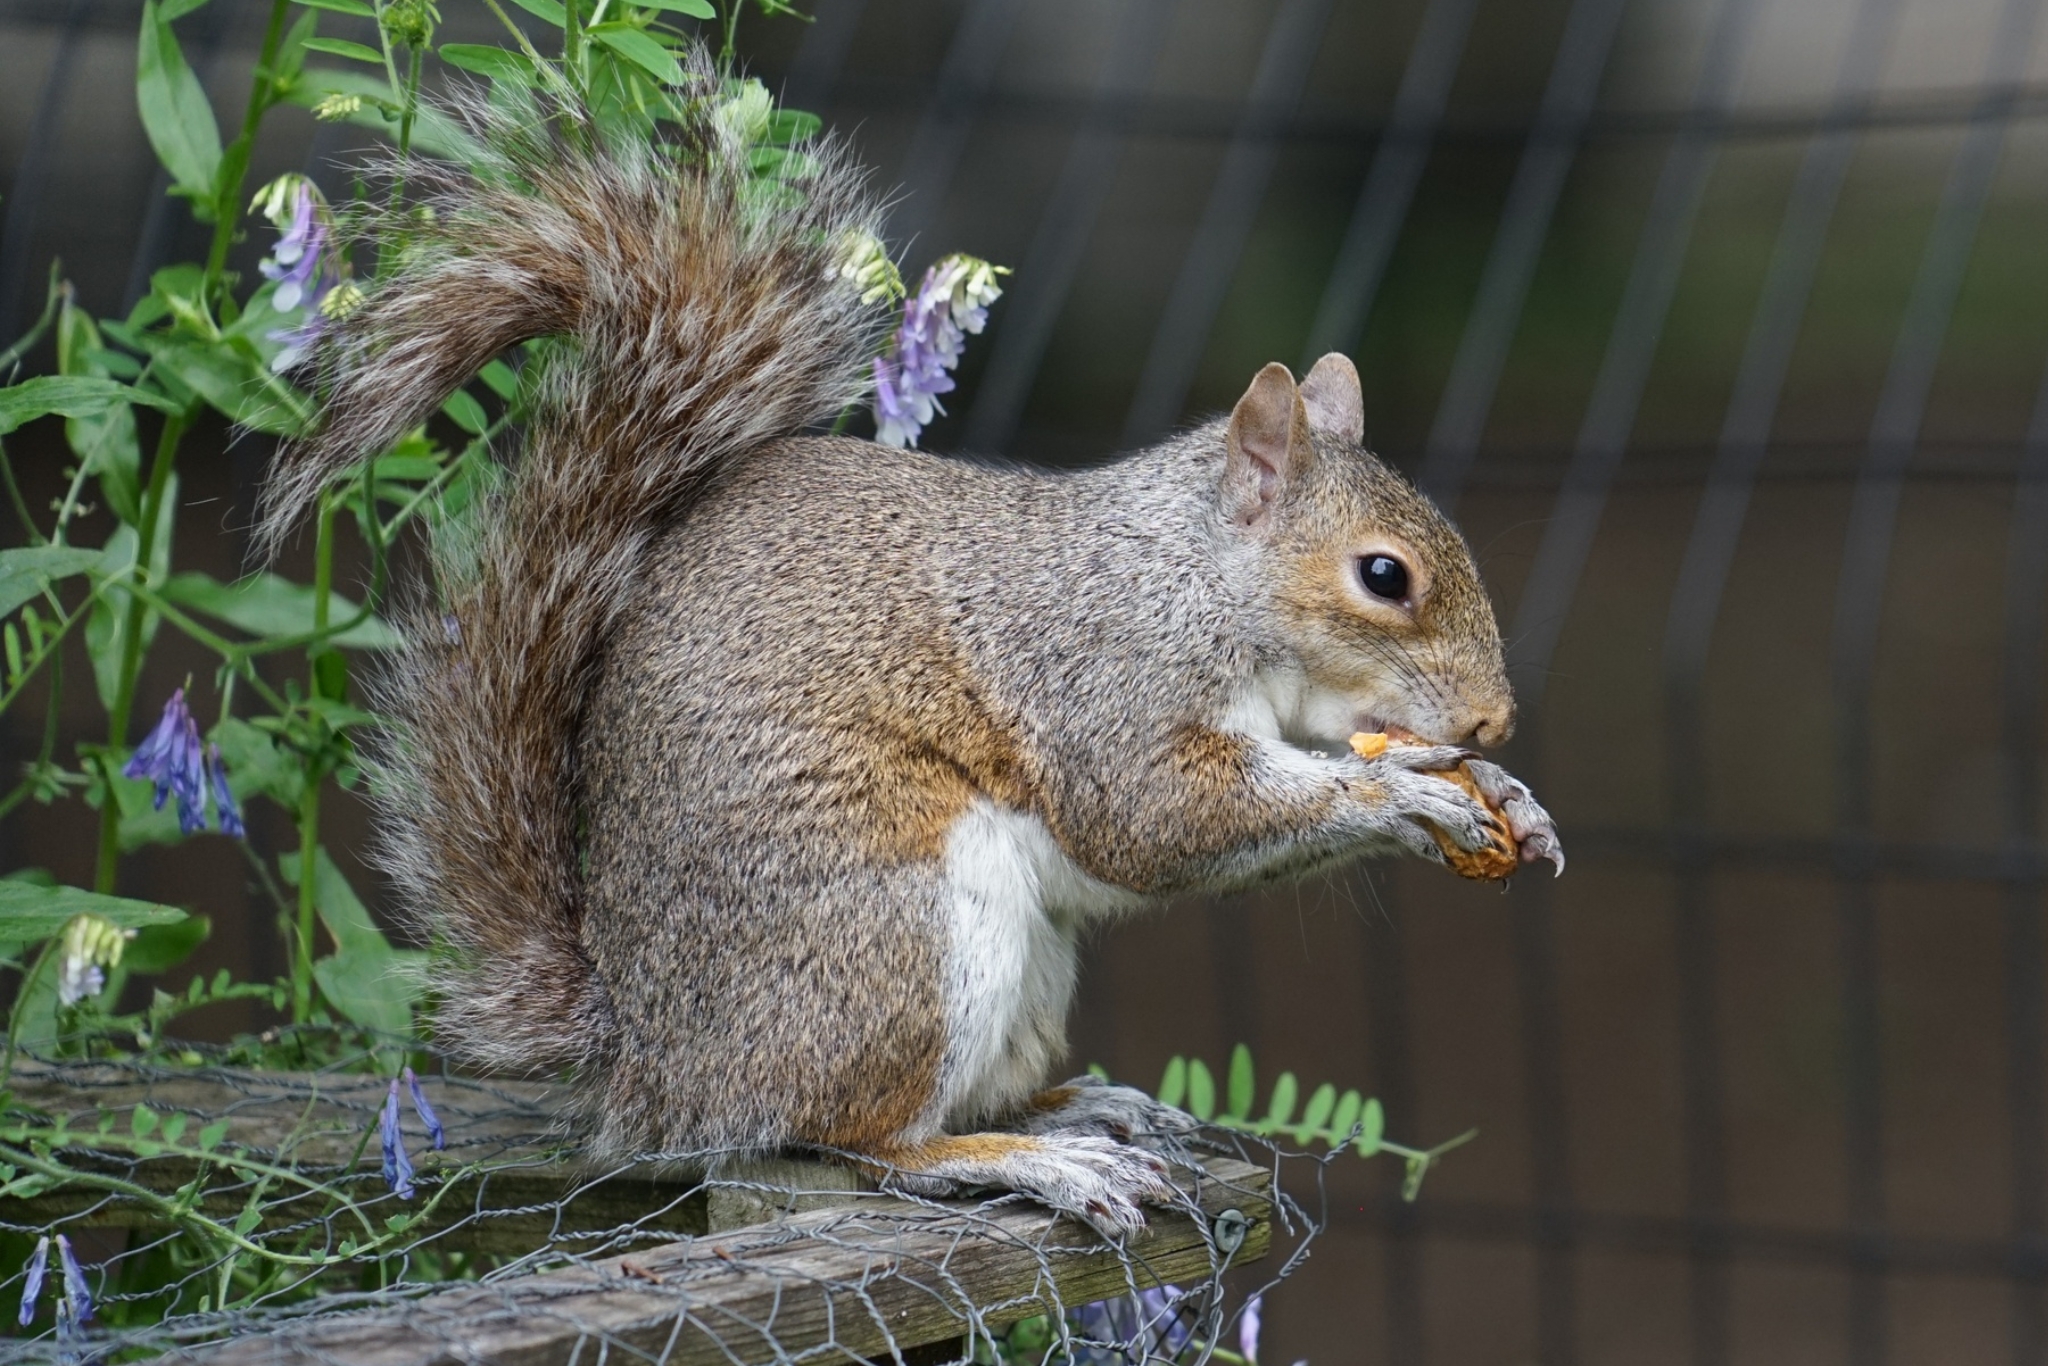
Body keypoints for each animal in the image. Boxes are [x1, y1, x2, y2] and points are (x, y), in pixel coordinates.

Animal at [257, 74, 1562, 1235]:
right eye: (1382, 576)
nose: (1492, 720)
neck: (1188, 574)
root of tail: (651, 1061)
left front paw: (1502, 793)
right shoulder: (1102, 676)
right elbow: (1156, 815)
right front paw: (1403, 791)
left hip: (1020, 968)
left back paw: (1080, 1107)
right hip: (899, 930)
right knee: (852, 1139)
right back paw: (1032, 1163)